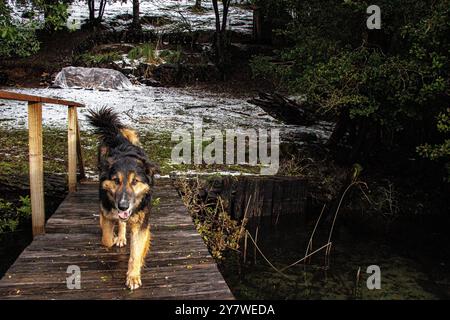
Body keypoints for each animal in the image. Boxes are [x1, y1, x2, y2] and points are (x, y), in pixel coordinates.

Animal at [87, 107, 159, 290]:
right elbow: (106, 239)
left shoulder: (141, 224)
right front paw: (112, 236)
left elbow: (136, 252)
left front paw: (133, 275)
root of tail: (116, 135)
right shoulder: (107, 209)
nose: (123, 206)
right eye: (116, 181)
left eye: (135, 181)